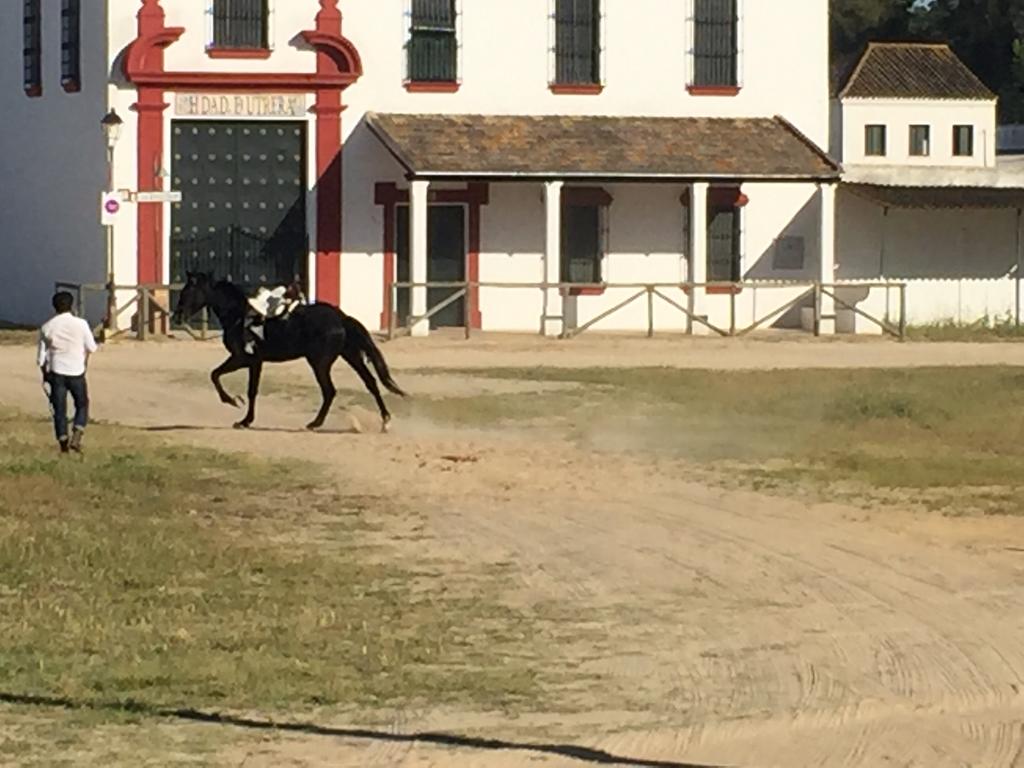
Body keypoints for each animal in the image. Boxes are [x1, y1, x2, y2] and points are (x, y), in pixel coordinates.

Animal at [172, 274, 403, 434]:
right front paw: (243, 415)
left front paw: (236, 406)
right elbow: (237, 384)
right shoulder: (253, 362)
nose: (177, 317)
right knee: (370, 382)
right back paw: (385, 421)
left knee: (330, 391)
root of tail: (341, 318)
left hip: (319, 363)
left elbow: (222, 378)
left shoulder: (244, 359)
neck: (239, 317)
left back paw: (315, 423)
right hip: (350, 355)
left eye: (188, 292)